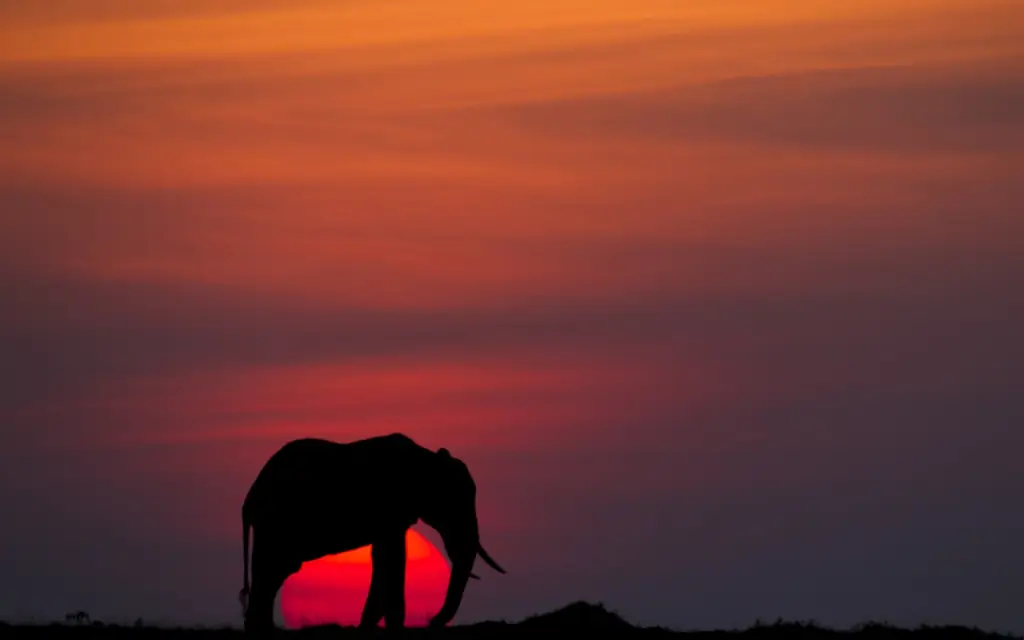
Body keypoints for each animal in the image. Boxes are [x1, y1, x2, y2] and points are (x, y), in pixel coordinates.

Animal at [238, 433, 506, 632]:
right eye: (454, 501)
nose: (432, 622)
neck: (426, 458)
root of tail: (250, 496)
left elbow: (382, 557)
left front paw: (367, 626)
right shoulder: (390, 506)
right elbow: (393, 556)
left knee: (272, 574)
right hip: (277, 523)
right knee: (271, 570)